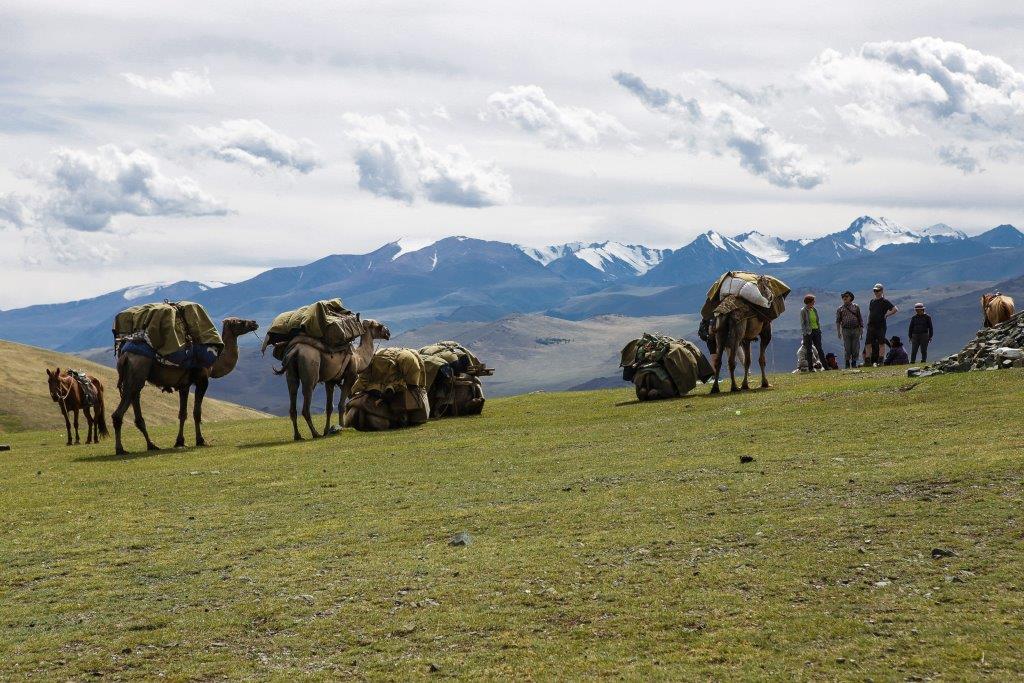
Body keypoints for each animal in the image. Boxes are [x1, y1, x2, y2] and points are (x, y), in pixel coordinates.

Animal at [109, 317, 256, 456]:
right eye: (240, 322)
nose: (254, 323)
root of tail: (124, 356)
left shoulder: (184, 385)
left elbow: (182, 414)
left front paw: (180, 441)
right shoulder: (202, 380)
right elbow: (196, 412)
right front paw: (200, 440)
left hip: (135, 378)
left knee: (136, 410)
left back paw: (151, 445)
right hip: (137, 372)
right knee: (119, 413)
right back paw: (120, 449)